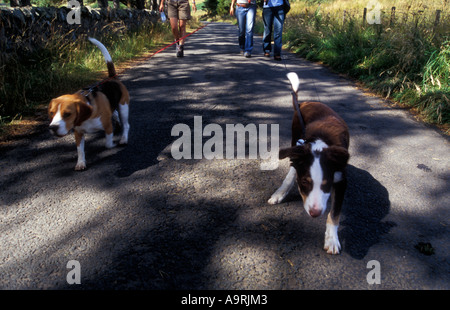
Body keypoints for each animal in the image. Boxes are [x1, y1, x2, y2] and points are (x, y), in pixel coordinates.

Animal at [49, 38, 130, 171]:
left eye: (67, 114)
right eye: (51, 113)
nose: (53, 128)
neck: (86, 117)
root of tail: (112, 79)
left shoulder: (108, 127)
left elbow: (108, 144)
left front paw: (112, 145)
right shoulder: (78, 133)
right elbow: (80, 151)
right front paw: (81, 163)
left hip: (124, 106)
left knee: (126, 124)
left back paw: (123, 138)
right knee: (115, 113)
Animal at [268, 72, 350, 254]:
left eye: (327, 184)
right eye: (305, 182)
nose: (315, 213)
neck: (319, 145)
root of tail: (305, 102)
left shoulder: (341, 179)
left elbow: (335, 212)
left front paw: (332, 239)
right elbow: (292, 175)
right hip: (295, 138)